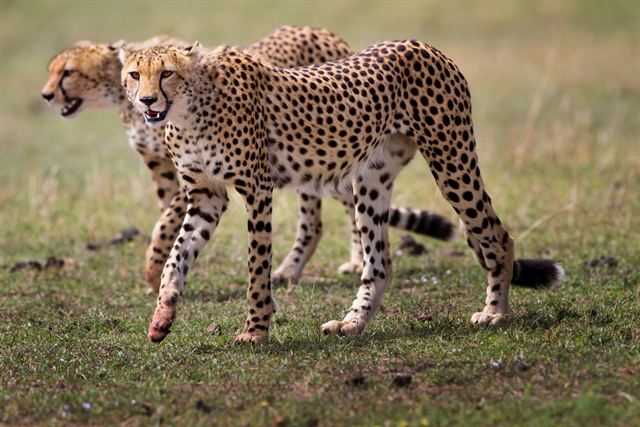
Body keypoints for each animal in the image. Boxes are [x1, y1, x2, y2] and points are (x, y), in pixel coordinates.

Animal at [41, 26, 454, 294]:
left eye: (68, 72)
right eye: (52, 71)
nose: (46, 95)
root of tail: (319, 31)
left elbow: (164, 223)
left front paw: (153, 266)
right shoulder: (167, 170)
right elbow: (170, 223)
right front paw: (163, 272)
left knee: (332, 212)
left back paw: (349, 263)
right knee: (337, 209)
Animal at [119, 38, 565, 345]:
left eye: (167, 73)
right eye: (134, 74)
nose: (147, 100)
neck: (190, 110)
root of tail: (424, 45)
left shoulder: (257, 192)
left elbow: (256, 268)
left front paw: (256, 330)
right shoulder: (206, 197)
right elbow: (175, 258)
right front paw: (161, 317)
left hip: (451, 160)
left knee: (497, 235)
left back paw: (495, 312)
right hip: (370, 179)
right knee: (380, 261)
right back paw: (353, 322)